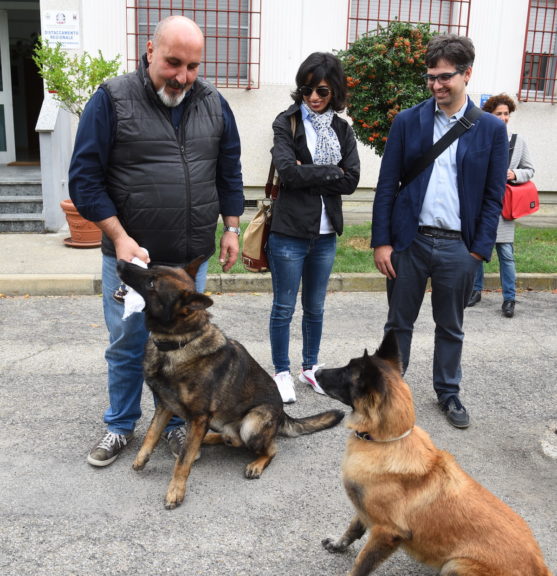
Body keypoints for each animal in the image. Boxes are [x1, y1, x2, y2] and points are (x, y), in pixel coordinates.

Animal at [117, 258, 344, 510]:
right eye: (151, 268)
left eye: (152, 282)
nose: (120, 262)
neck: (178, 343)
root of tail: (282, 413)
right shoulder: (166, 407)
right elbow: (152, 434)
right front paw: (141, 458)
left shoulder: (199, 417)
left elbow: (183, 459)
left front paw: (175, 490)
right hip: (219, 422)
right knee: (229, 439)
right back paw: (209, 439)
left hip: (252, 424)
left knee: (271, 448)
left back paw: (255, 463)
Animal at [314, 330, 548, 576]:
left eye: (345, 372)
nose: (316, 372)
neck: (386, 441)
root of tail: (541, 567)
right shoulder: (363, 511)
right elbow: (353, 529)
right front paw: (338, 544)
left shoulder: (385, 533)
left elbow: (361, 564)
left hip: (455, 564)